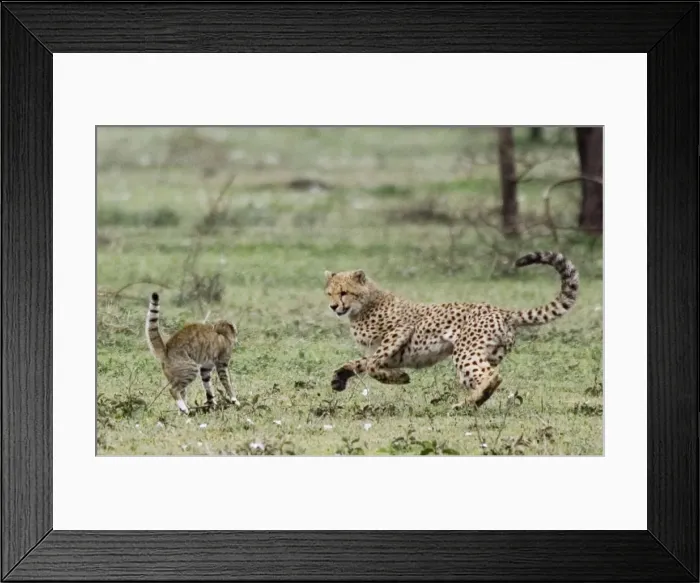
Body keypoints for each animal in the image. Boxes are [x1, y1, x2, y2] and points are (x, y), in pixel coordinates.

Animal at [323, 251, 579, 408]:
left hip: (466, 353)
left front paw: (400, 377)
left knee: (492, 376)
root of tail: (501, 310)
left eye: (344, 292)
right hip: (485, 356)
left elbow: (372, 365)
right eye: (329, 293)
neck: (363, 305)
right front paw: (339, 379)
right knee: (486, 377)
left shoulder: (401, 331)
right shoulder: (377, 350)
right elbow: (359, 363)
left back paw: (464, 405)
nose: (333, 306)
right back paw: (471, 403)